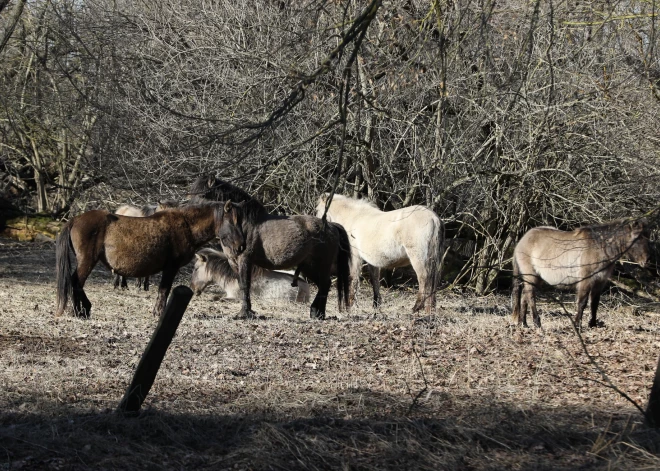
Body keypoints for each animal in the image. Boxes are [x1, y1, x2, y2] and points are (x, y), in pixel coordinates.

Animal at [55, 201, 246, 318]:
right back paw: (81, 311)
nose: (241, 247)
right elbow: (164, 291)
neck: (186, 225)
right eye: (232, 222)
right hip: (87, 261)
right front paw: (159, 313)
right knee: (76, 282)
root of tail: (75, 219)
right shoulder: (171, 268)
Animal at [189, 177, 350, 320]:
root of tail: (331, 226)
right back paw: (317, 313)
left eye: (201, 195)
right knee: (324, 285)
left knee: (325, 285)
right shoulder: (235, 263)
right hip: (309, 267)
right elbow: (242, 285)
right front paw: (247, 311)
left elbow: (245, 286)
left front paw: (244, 313)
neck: (243, 225)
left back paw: (317, 313)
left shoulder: (245, 260)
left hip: (318, 266)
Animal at [314, 194, 444, 316]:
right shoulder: (372, 261)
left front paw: (351, 305)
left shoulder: (356, 257)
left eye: (317, 210)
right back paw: (430, 309)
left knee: (423, 278)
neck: (354, 217)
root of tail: (433, 218)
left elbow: (354, 278)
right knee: (433, 280)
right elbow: (375, 280)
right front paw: (376, 305)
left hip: (418, 258)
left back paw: (416, 307)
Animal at [510, 219, 648, 330]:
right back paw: (537, 323)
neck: (599, 247)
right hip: (531, 276)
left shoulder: (599, 282)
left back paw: (524, 324)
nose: (646, 261)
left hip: (537, 278)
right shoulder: (586, 281)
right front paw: (577, 324)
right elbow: (582, 302)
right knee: (530, 296)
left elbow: (594, 303)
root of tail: (521, 242)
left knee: (524, 297)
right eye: (637, 238)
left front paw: (592, 324)